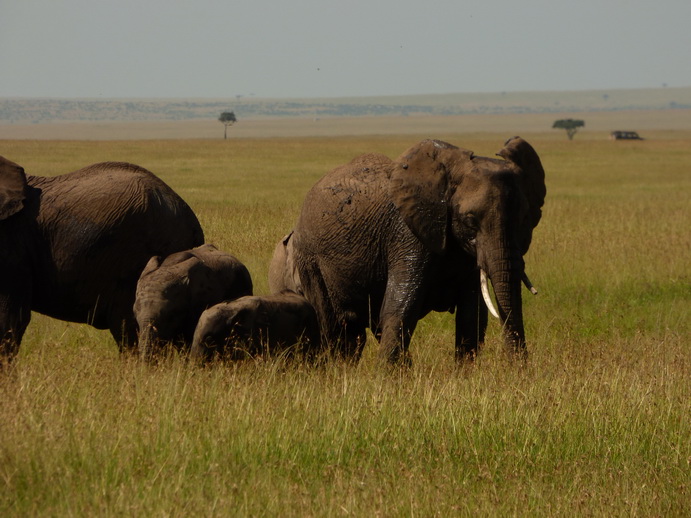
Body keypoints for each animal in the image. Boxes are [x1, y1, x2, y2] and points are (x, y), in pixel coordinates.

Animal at [270, 137, 546, 364]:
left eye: (524, 219)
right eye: (470, 220)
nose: (519, 369)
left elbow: (472, 314)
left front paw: (463, 376)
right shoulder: (407, 234)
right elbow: (402, 306)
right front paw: (388, 379)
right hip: (310, 260)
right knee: (334, 325)